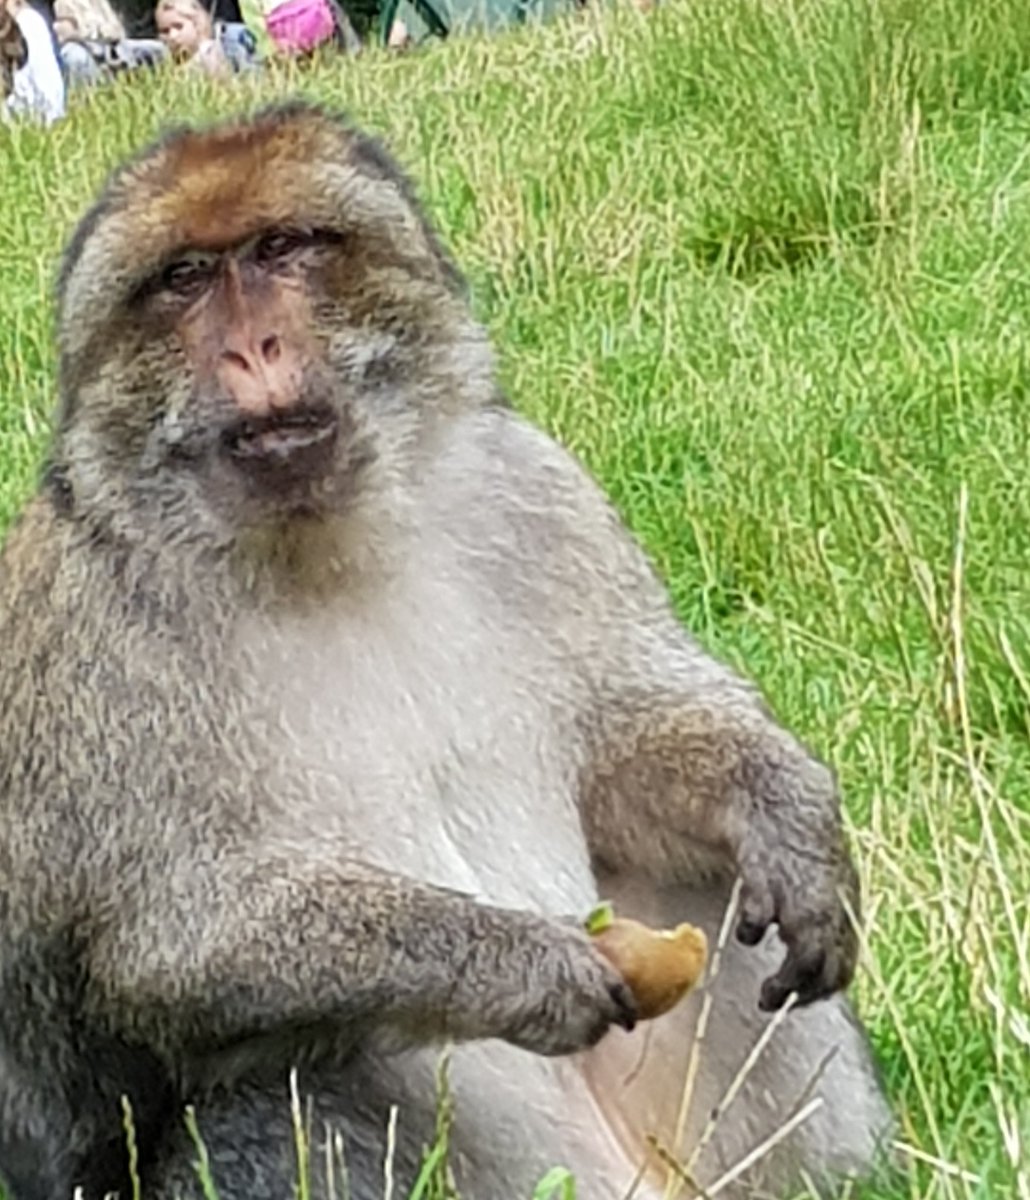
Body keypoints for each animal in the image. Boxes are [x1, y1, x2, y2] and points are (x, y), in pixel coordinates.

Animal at [0, 101, 892, 1200]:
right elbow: (164, 943)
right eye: (185, 280)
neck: (321, 545)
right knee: (258, 1102)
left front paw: (788, 815)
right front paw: (516, 961)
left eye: (283, 249)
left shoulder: (533, 487)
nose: (253, 346)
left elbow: (631, 743)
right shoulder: (85, 637)